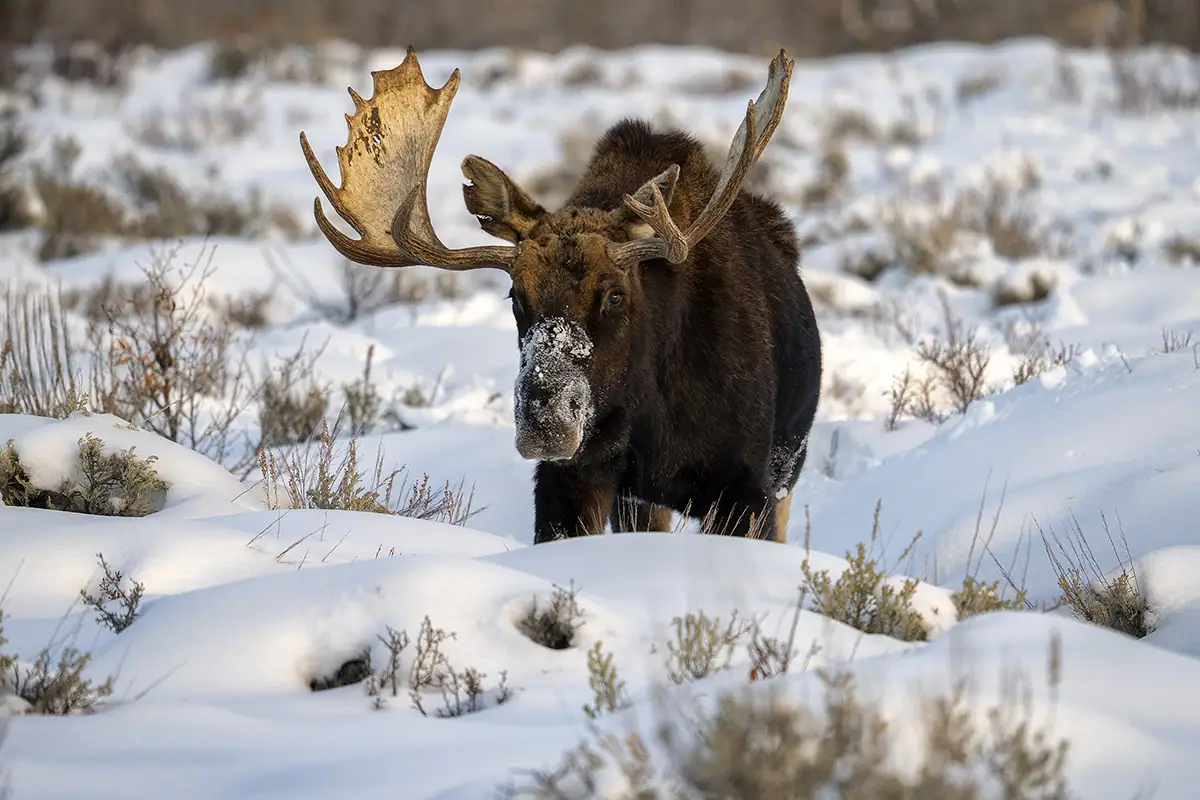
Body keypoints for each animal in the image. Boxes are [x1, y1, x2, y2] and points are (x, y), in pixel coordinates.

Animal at [299, 47, 822, 545]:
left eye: (615, 295)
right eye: (515, 295)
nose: (544, 420)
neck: (652, 415)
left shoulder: (745, 487)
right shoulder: (573, 477)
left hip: (785, 468)